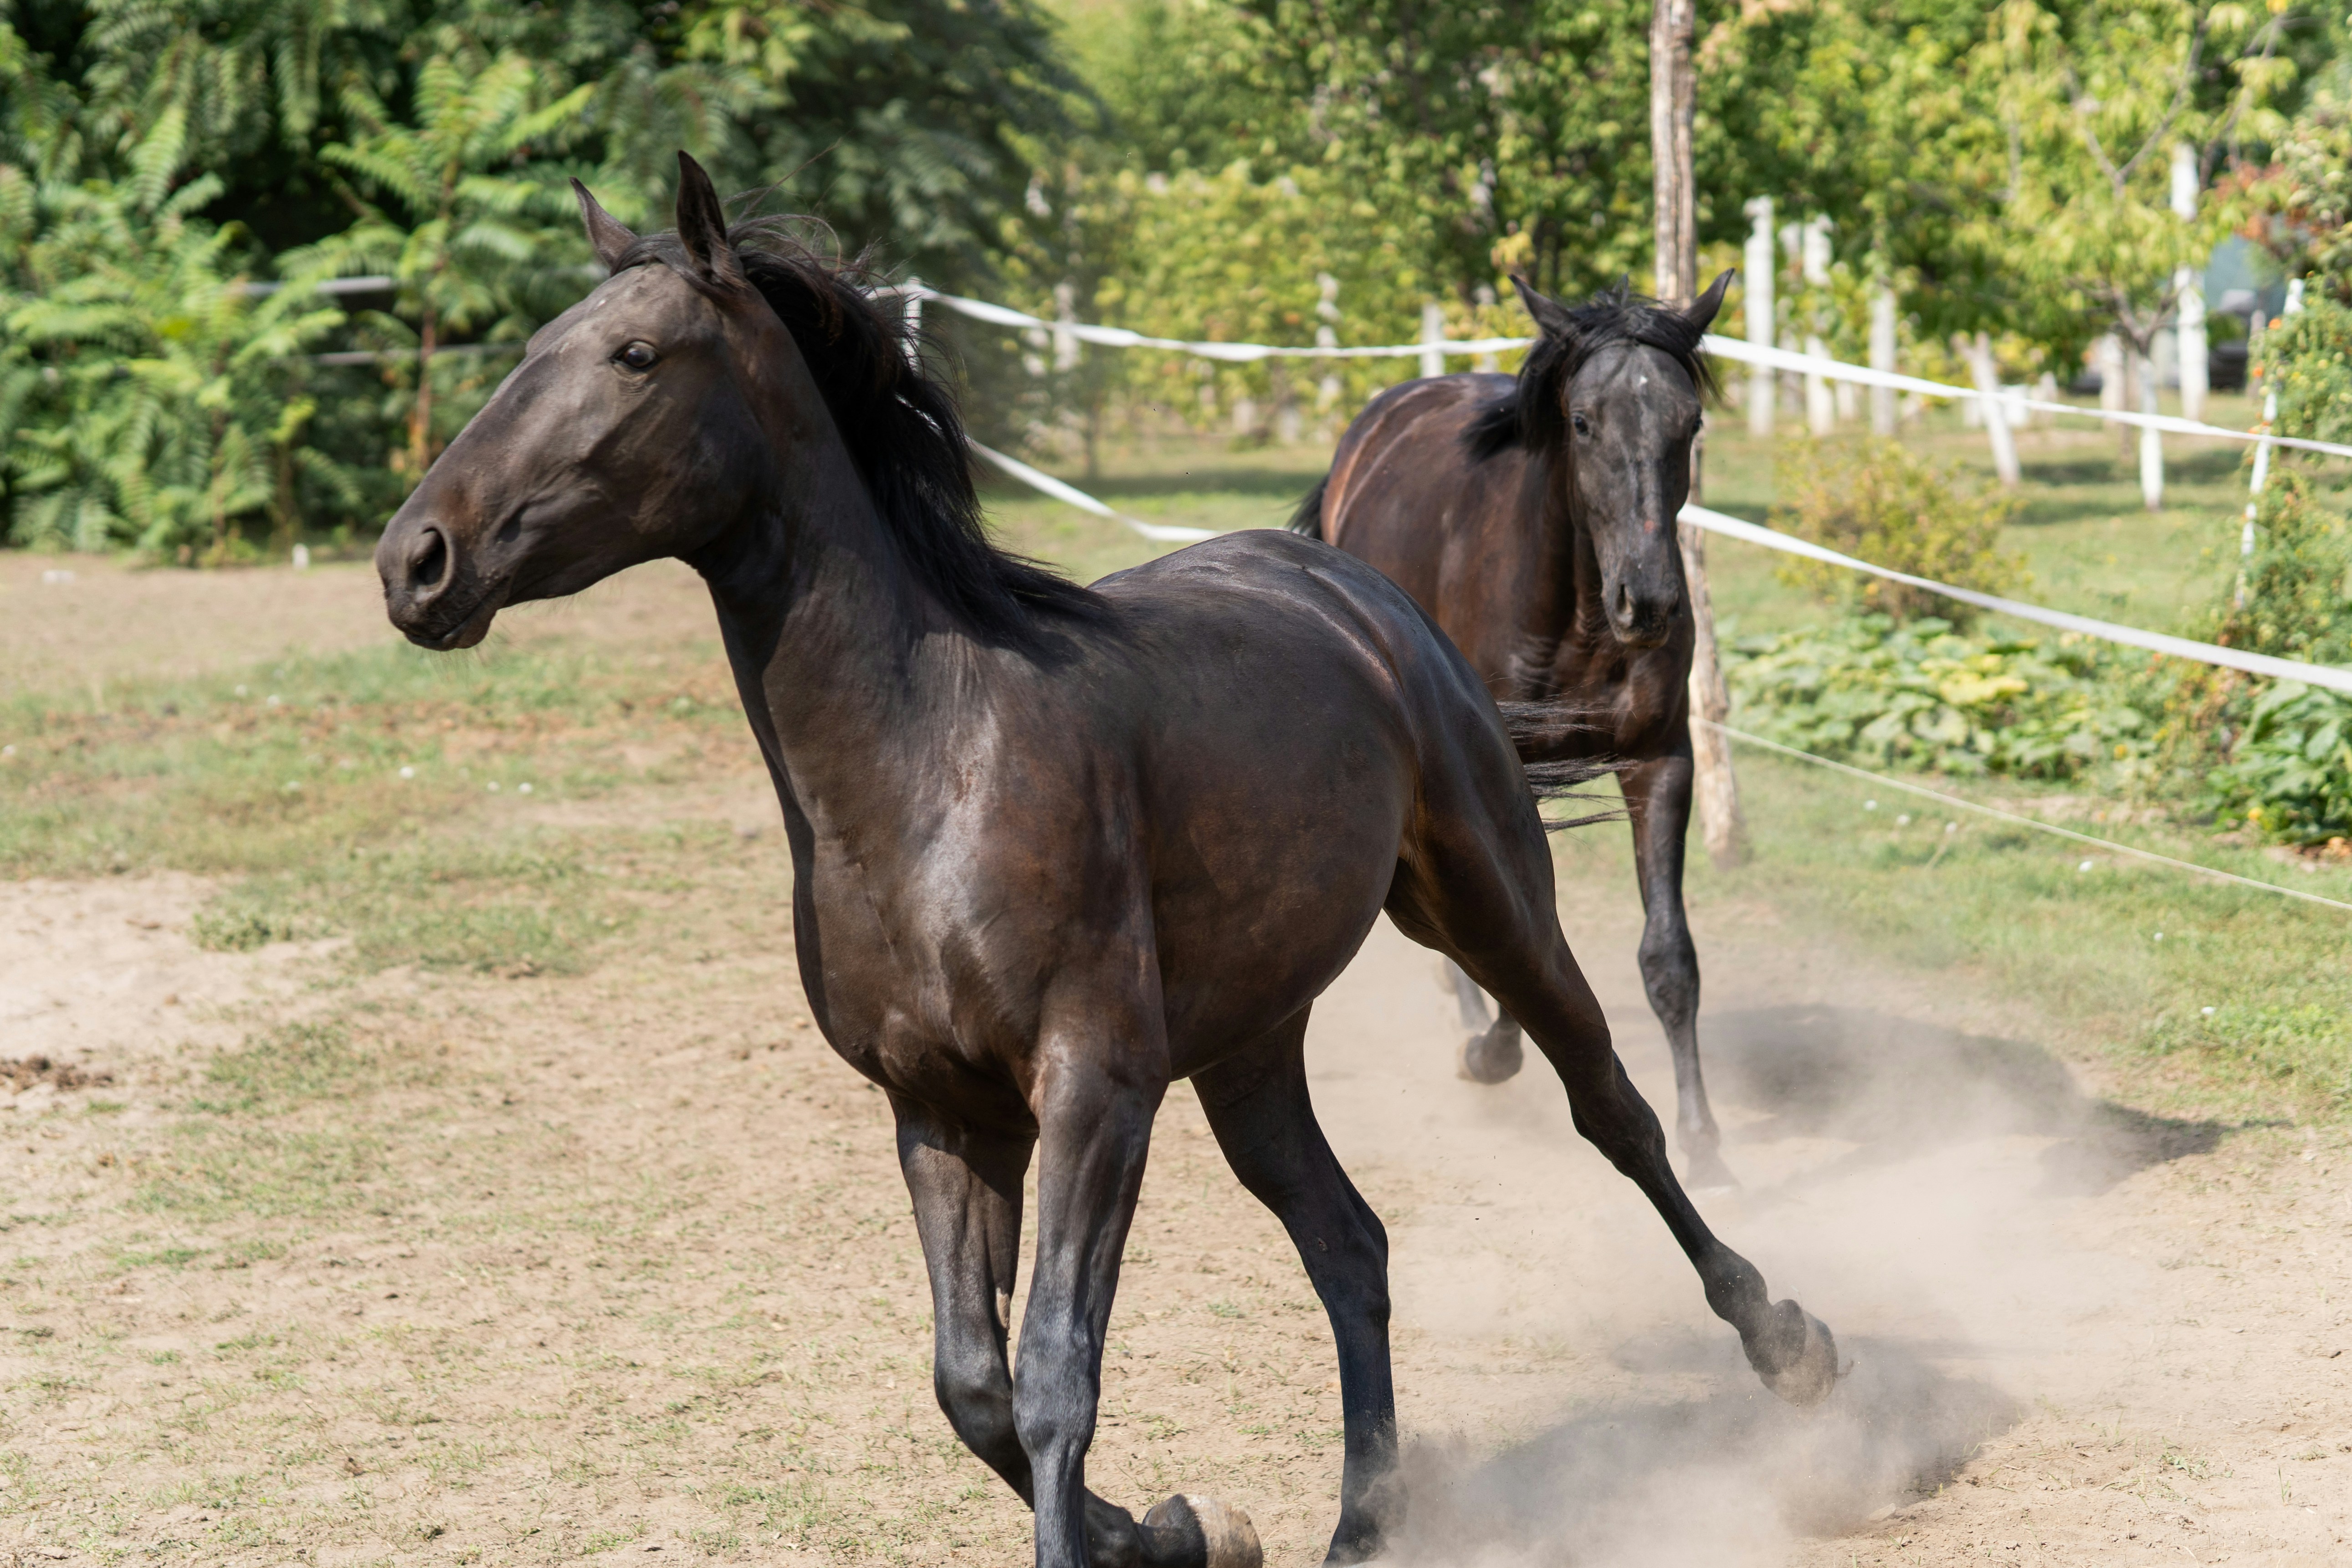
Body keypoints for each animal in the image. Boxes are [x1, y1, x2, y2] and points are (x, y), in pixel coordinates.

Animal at [1289, 274, 1741, 1190]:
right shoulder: (1496, 775)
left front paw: (1704, 1140)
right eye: (1582, 422)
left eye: (1688, 423)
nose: (1648, 602)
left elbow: (1668, 957)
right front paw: (1491, 1054)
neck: (1574, 615)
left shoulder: (1658, 762)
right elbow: (1514, 942)